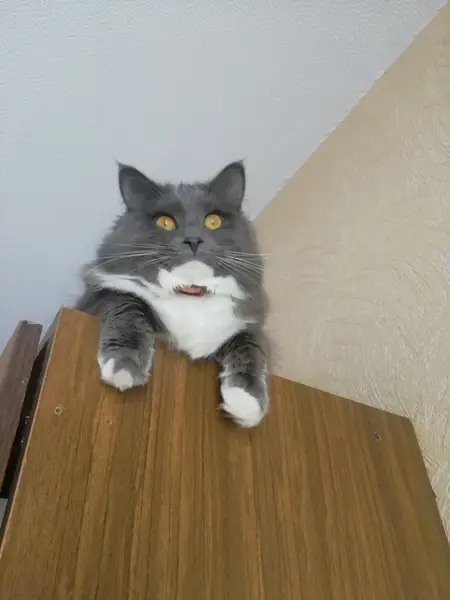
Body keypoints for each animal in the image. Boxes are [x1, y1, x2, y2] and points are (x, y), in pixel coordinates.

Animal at [76, 161, 269, 427]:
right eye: (165, 222)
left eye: (213, 221)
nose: (193, 240)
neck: (190, 296)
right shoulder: (100, 295)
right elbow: (128, 306)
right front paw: (124, 366)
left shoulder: (248, 327)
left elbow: (250, 347)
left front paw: (246, 402)